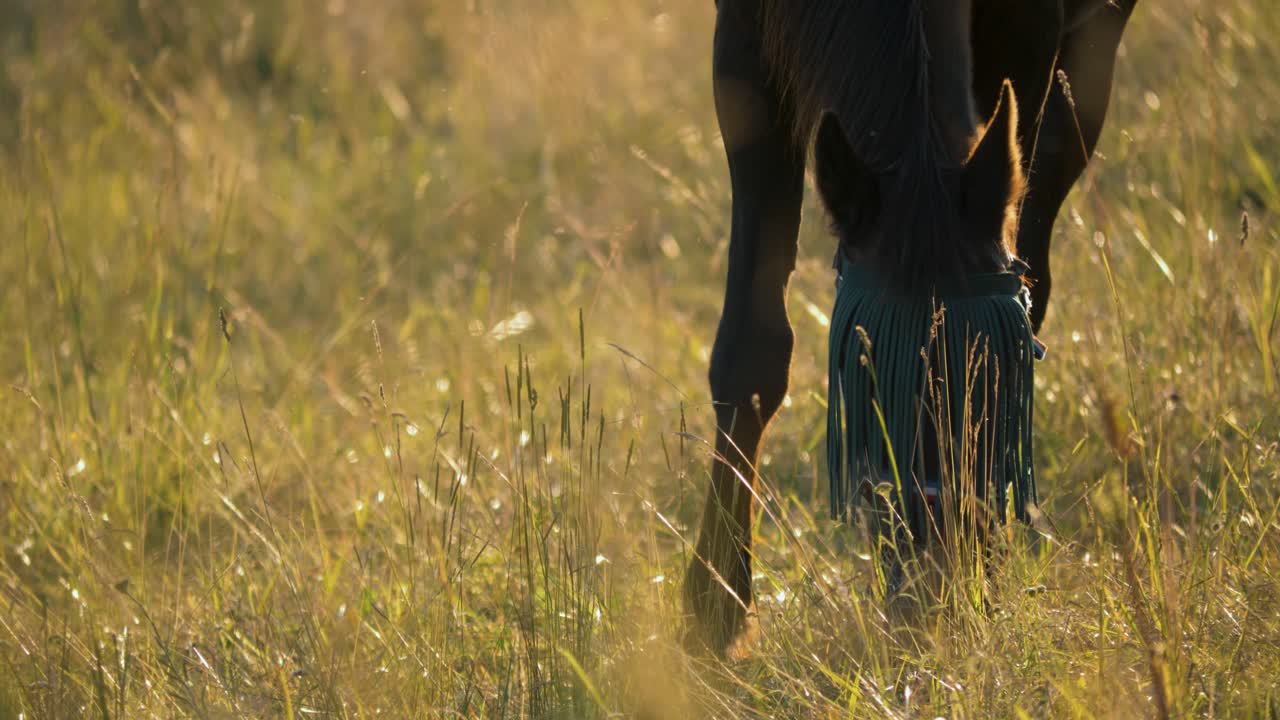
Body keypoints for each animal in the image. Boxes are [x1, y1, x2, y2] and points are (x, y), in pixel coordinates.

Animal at [684, 0, 1139, 656]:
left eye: (1002, 377)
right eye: (867, 379)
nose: (934, 597)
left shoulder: (1031, 35)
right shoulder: (746, 46)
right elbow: (752, 351)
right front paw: (716, 605)